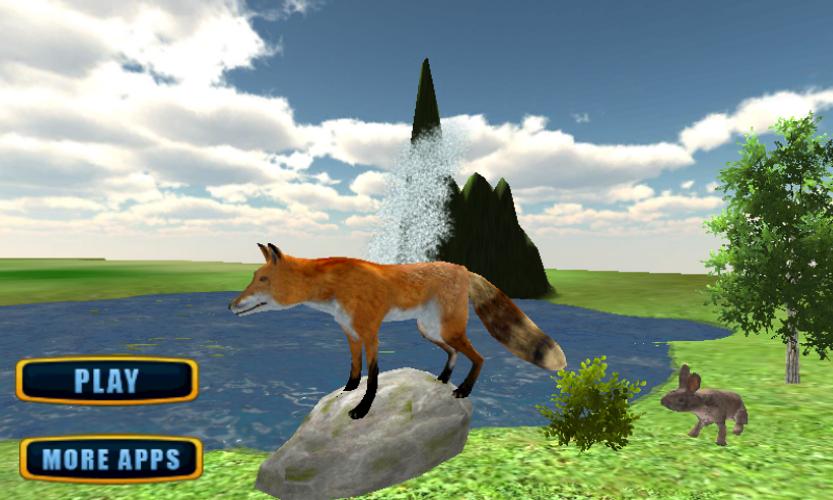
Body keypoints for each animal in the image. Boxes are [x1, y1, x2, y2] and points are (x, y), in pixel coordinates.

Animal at [228, 243, 568, 420]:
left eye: (262, 280)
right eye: (254, 277)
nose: (231, 305)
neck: (336, 288)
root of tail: (463, 269)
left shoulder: (370, 333)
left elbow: (373, 378)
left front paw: (362, 409)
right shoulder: (350, 333)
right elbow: (355, 370)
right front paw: (347, 391)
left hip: (447, 329)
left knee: (480, 357)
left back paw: (462, 389)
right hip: (430, 330)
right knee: (455, 354)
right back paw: (442, 379)